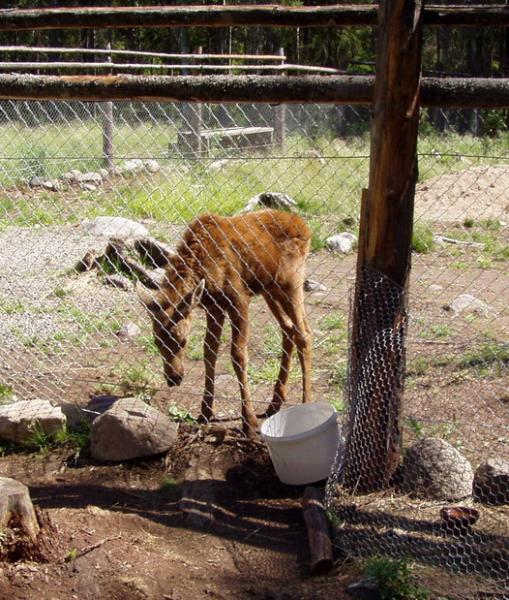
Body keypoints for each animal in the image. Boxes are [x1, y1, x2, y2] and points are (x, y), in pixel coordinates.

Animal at [138, 210, 314, 436]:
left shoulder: (239, 298)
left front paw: (249, 422)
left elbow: (238, 354)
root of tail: (304, 226)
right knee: (288, 329)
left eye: (182, 341)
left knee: (304, 334)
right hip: (270, 289)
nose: (173, 378)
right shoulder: (214, 307)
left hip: (292, 282)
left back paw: (306, 403)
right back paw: (274, 403)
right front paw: (205, 412)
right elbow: (209, 351)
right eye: (156, 342)